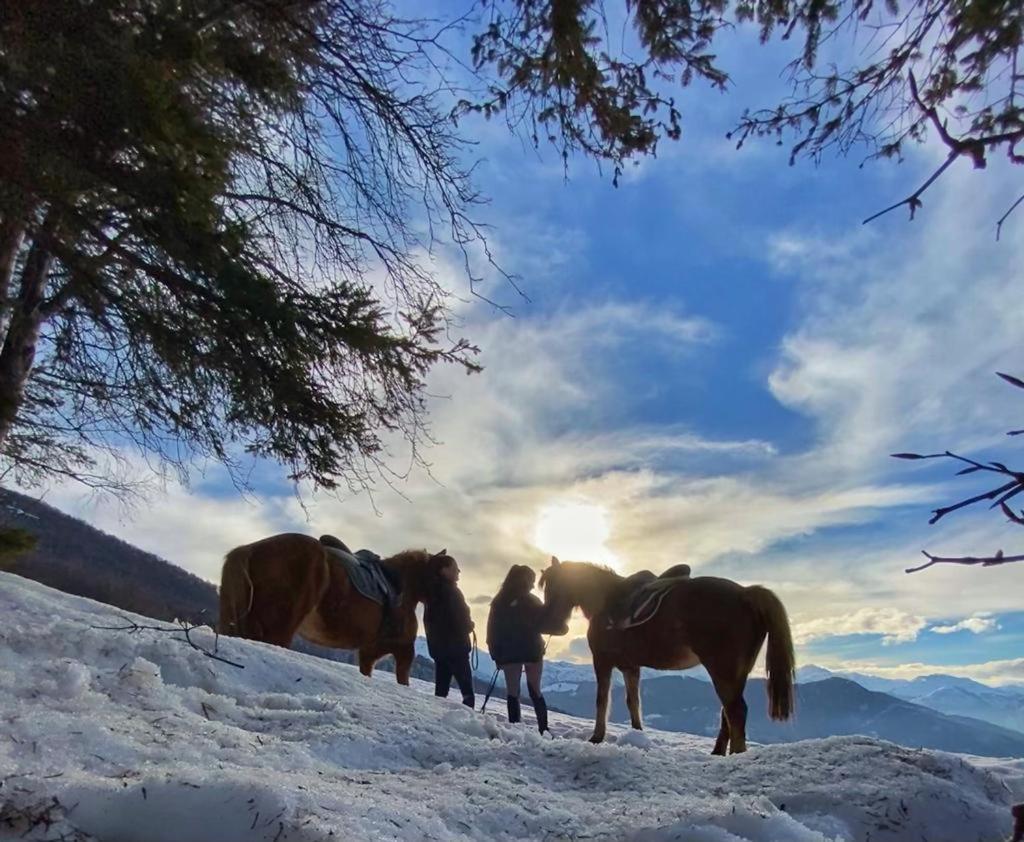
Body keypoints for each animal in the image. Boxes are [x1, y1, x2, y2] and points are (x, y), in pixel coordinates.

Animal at [220, 532, 452, 684]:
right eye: (444, 576)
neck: (399, 585)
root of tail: (251, 549)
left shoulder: (368, 653)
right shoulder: (403, 651)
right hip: (278, 630)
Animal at [540, 557, 794, 753]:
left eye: (554, 585)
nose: (552, 624)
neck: (606, 601)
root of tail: (746, 593)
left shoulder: (602, 661)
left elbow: (602, 700)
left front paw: (596, 737)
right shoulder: (630, 666)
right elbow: (633, 702)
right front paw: (637, 736)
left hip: (722, 670)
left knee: (736, 712)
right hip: (737, 673)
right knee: (728, 713)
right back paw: (718, 752)